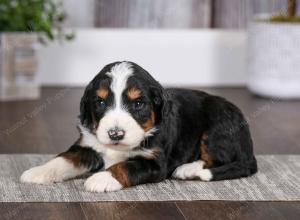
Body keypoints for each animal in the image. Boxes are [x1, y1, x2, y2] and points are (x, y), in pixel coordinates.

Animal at [19, 61, 256, 192]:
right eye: (100, 102)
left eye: (139, 104)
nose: (115, 134)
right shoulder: (87, 145)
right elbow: (64, 159)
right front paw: (38, 171)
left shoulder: (155, 162)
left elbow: (127, 166)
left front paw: (102, 179)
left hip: (217, 126)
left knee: (221, 160)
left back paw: (187, 169)